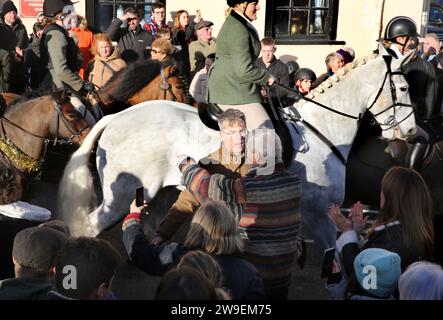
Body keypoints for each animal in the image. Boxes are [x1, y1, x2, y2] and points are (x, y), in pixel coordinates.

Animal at [58, 50, 416, 250]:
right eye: (402, 87)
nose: (413, 132)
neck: (322, 127)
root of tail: (115, 118)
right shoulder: (319, 215)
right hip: (120, 197)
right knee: (91, 226)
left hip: (154, 194)